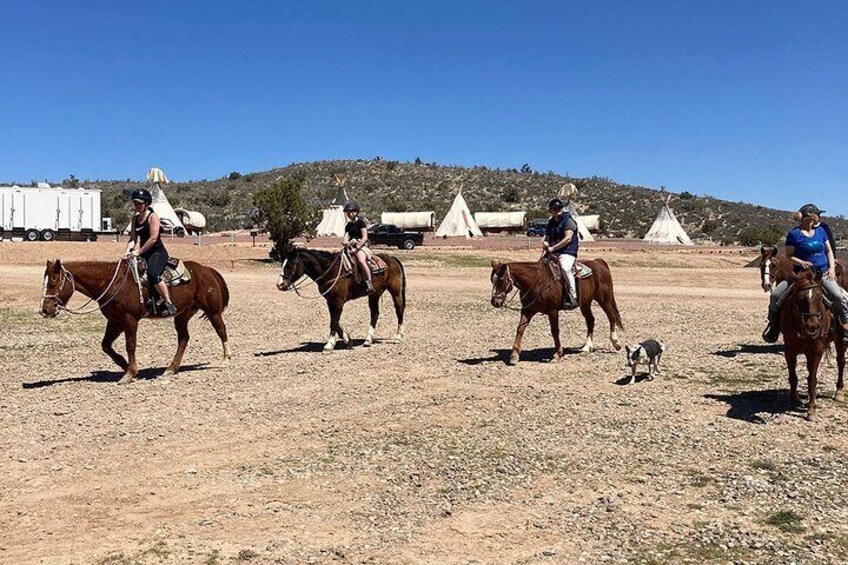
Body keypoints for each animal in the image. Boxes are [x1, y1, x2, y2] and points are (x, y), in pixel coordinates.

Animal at [40, 258, 232, 384]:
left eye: (53, 282)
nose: (45, 310)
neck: (112, 282)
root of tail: (206, 269)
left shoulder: (129, 320)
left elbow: (130, 345)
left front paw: (130, 373)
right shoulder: (114, 321)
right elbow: (106, 346)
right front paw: (126, 366)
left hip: (213, 312)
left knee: (221, 330)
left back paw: (226, 359)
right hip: (182, 315)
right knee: (184, 338)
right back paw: (170, 369)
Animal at [276, 247, 406, 348]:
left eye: (290, 265)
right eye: (283, 264)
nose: (280, 285)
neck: (331, 271)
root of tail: (392, 258)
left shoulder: (338, 301)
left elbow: (334, 321)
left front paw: (330, 344)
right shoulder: (330, 301)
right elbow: (334, 320)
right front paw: (347, 339)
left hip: (395, 292)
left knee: (399, 310)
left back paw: (398, 337)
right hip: (374, 294)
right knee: (374, 313)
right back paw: (368, 340)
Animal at [490, 254, 624, 364]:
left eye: (501, 280)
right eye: (492, 280)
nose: (495, 302)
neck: (537, 281)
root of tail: (598, 262)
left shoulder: (552, 311)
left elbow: (555, 331)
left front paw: (558, 354)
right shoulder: (527, 310)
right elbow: (520, 328)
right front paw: (514, 355)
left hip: (604, 299)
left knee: (611, 316)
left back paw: (616, 343)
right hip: (585, 303)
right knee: (590, 320)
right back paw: (587, 346)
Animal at [780, 268, 848, 418]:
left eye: (819, 296)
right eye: (799, 298)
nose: (813, 326)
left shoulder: (816, 351)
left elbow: (812, 379)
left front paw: (811, 409)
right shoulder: (789, 350)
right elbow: (793, 376)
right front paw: (793, 398)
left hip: (840, 341)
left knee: (841, 362)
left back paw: (839, 392)